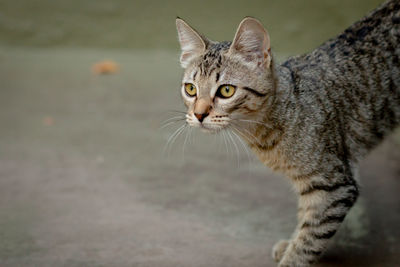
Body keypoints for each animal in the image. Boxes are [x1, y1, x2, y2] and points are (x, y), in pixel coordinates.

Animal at [173, 0, 398, 266]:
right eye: (190, 89)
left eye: (226, 91)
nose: (198, 115)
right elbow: (305, 220)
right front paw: (290, 242)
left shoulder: (334, 186)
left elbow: (310, 240)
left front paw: (292, 256)